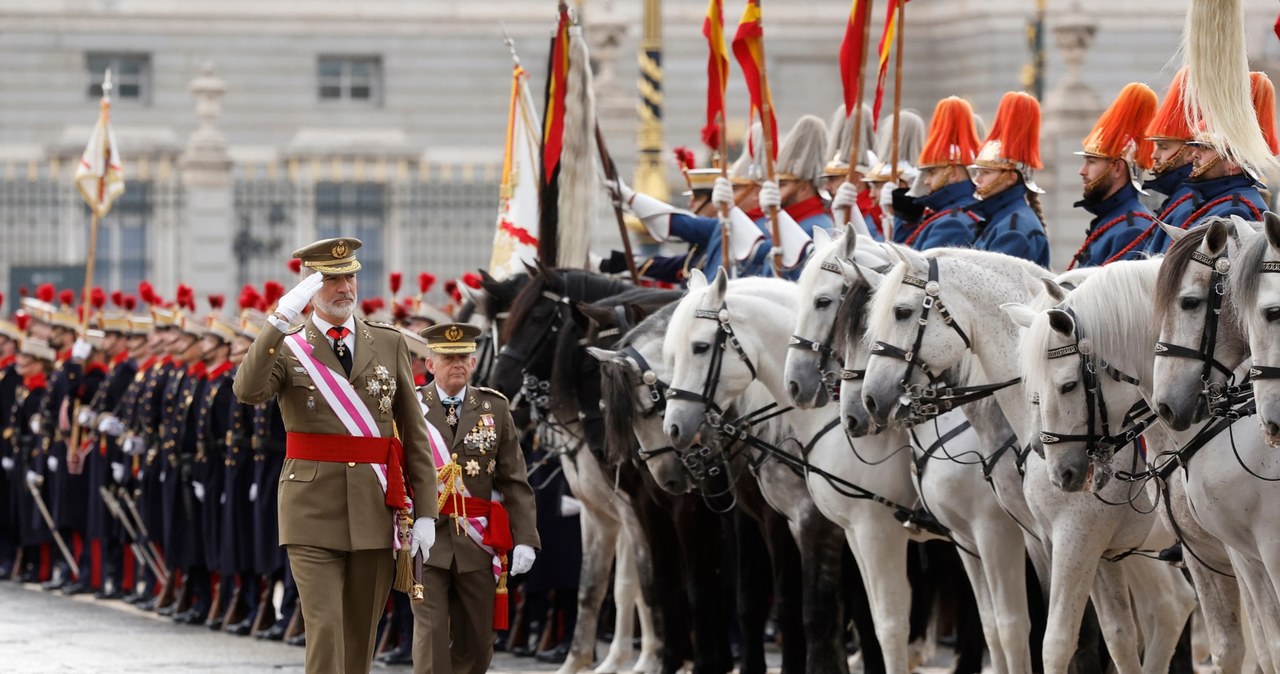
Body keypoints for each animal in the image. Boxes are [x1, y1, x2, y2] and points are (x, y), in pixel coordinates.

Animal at [860, 250, 1198, 674]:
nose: (869, 399)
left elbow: (1056, 639)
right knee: (1171, 606)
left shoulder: (1063, 538)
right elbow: (1108, 636)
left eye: (902, 312)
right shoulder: (1057, 542)